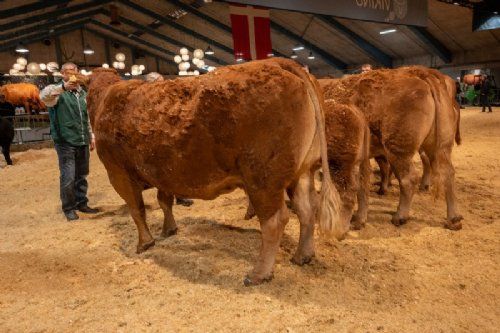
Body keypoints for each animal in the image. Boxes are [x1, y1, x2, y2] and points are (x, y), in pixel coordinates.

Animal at [87, 58, 344, 284]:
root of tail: (278, 62)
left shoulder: (118, 173)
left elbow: (136, 210)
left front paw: (144, 243)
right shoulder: (162, 172)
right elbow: (164, 201)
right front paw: (169, 229)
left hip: (263, 179)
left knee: (275, 220)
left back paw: (259, 274)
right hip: (302, 172)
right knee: (307, 210)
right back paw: (303, 255)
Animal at [322, 66, 462, 230]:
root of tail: (421, 73)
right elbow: (362, 185)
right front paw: (359, 218)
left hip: (398, 150)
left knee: (409, 179)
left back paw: (400, 216)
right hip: (440, 148)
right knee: (447, 173)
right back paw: (453, 219)